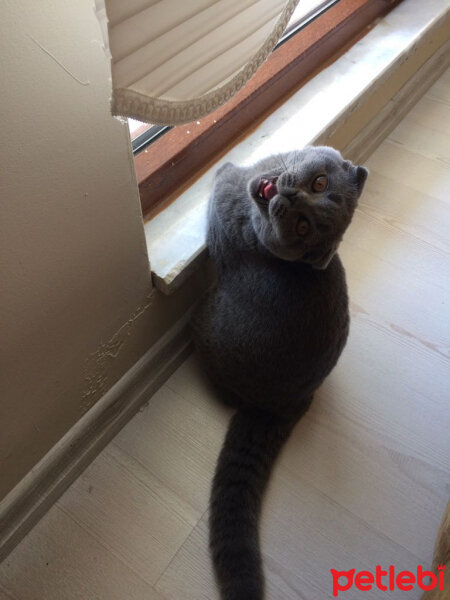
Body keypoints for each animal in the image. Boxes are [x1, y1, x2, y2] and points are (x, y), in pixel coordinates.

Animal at [191, 146, 370, 600]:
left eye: (304, 226)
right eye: (320, 182)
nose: (288, 198)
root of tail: (283, 405)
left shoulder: (226, 205)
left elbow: (224, 177)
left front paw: (226, 166)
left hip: (206, 324)